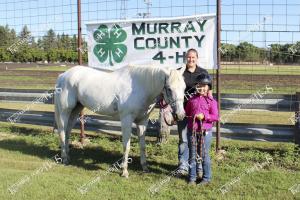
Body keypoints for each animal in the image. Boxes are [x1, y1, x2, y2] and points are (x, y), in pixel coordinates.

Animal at [54, 65, 185, 177]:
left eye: (184, 87)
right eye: (169, 88)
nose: (180, 115)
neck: (140, 86)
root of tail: (63, 75)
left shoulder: (143, 121)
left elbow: (142, 145)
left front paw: (145, 167)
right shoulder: (126, 119)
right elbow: (126, 146)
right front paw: (124, 171)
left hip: (76, 109)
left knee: (68, 130)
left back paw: (68, 156)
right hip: (65, 111)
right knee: (62, 131)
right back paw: (64, 159)